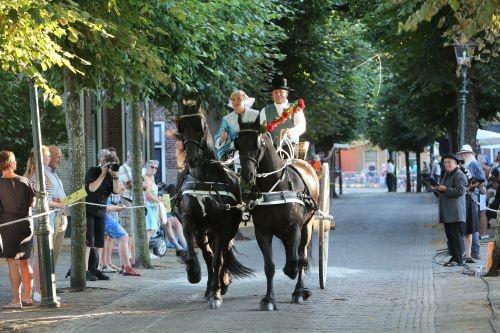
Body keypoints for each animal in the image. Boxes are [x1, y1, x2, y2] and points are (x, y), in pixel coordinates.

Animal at [177, 105, 254, 308]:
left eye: (201, 128)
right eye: (181, 129)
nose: (192, 158)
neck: (204, 179)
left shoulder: (222, 227)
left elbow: (218, 260)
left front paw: (217, 293)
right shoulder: (191, 222)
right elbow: (199, 253)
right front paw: (194, 273)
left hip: (227, 231)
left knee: (222, 255)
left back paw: (221, 283)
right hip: (206, 231)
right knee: (210, 254)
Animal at [237, 115, 316, 310]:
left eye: (258, 144)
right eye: (237, 143)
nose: (247, 176)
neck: (275, 188)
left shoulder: (294, 228)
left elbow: (295, 260)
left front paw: (294, 279)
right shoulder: (262, 232)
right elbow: (269, 266)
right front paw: (268, 299)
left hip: (307, 227)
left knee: (302, 255)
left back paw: (299, 291)